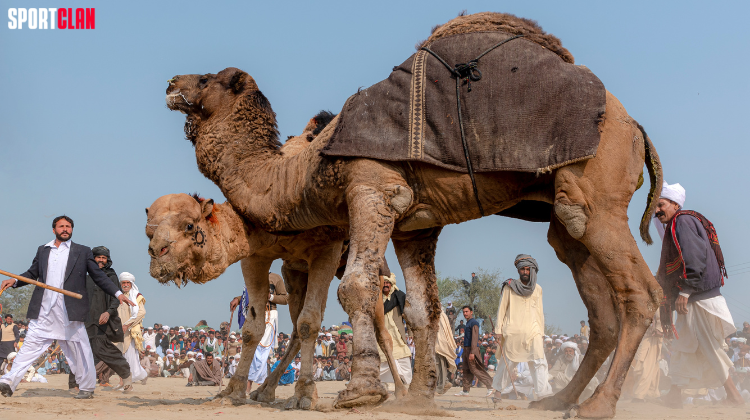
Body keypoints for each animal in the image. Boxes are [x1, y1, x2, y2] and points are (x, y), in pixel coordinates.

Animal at [164, 12, 664, 416]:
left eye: (206, 79)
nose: (170, 83)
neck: (309, 166)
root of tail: (633, 126)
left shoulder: (373, 189)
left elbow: (356, 287)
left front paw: (361, 392)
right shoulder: (416, 226)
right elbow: (424, 309)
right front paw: (419, 397)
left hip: (596, 190)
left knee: (641, 291)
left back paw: (598, 405)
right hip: (565, 218)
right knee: (596, 301)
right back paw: (557, 400)